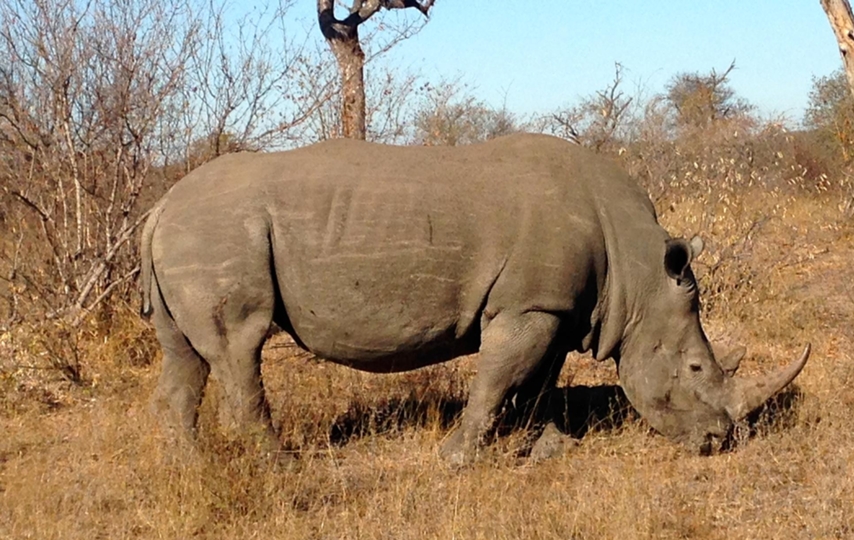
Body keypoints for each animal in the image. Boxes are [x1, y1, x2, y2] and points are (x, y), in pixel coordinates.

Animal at [139, 133, 808, 462]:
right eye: (694, 368)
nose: (717, 444)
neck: (637, 273)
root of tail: (160, 205)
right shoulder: (525, 305)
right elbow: (494, 382)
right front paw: (456, 459)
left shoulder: (555, 309)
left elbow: (537, 386)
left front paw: (544, 450)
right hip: (218, 230)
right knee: (239, 346)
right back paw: (281, 468)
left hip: (193, 233)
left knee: (186, 355)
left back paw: (190, 467)